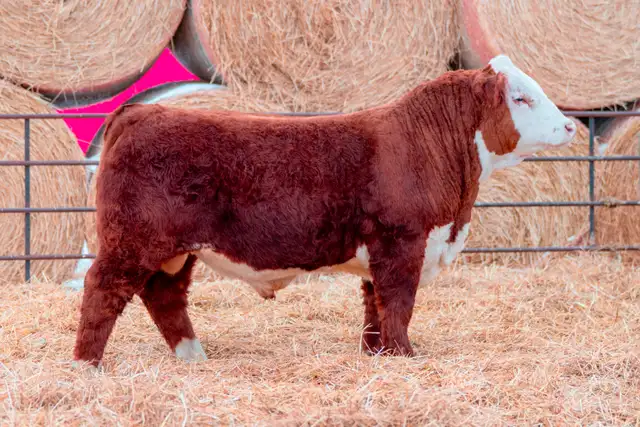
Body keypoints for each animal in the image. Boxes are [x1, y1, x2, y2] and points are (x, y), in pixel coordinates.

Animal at [73, 54, 577, 367]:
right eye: (521, 98)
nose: (571, 125)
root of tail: (137, 113)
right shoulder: (402, 241)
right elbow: (399, 303)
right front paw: (406, 355)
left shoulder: (380, 250)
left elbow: (375, 305)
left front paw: (378, 354)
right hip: (132, 238)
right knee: (103, 288)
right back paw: (86, 364)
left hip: (175, 249)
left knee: (164, 294)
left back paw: (193, 355)